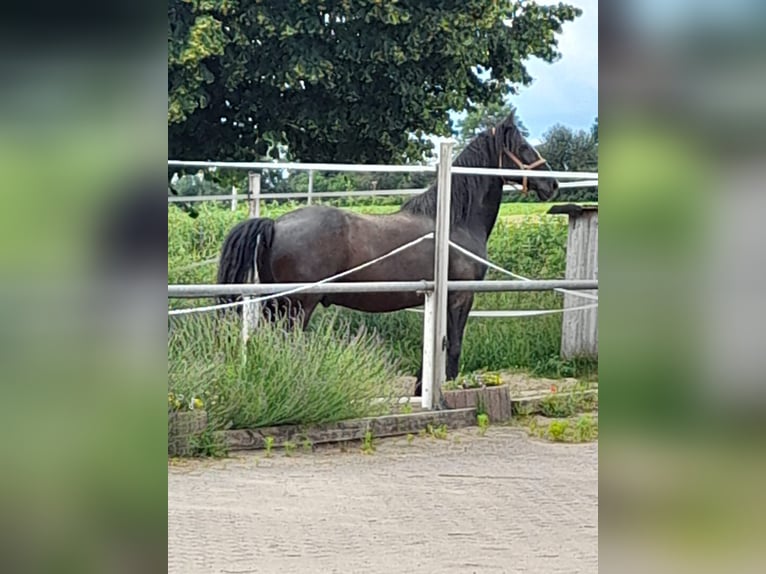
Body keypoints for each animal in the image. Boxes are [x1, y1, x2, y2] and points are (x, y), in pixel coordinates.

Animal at [216, 115, 560, 398]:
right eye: (523, 146)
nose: (553, 183)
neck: (454, 221)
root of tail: (275, 224)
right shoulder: (460, 296)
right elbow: (453, 344)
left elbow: (434, 344)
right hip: (297, 308)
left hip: (275, 307)